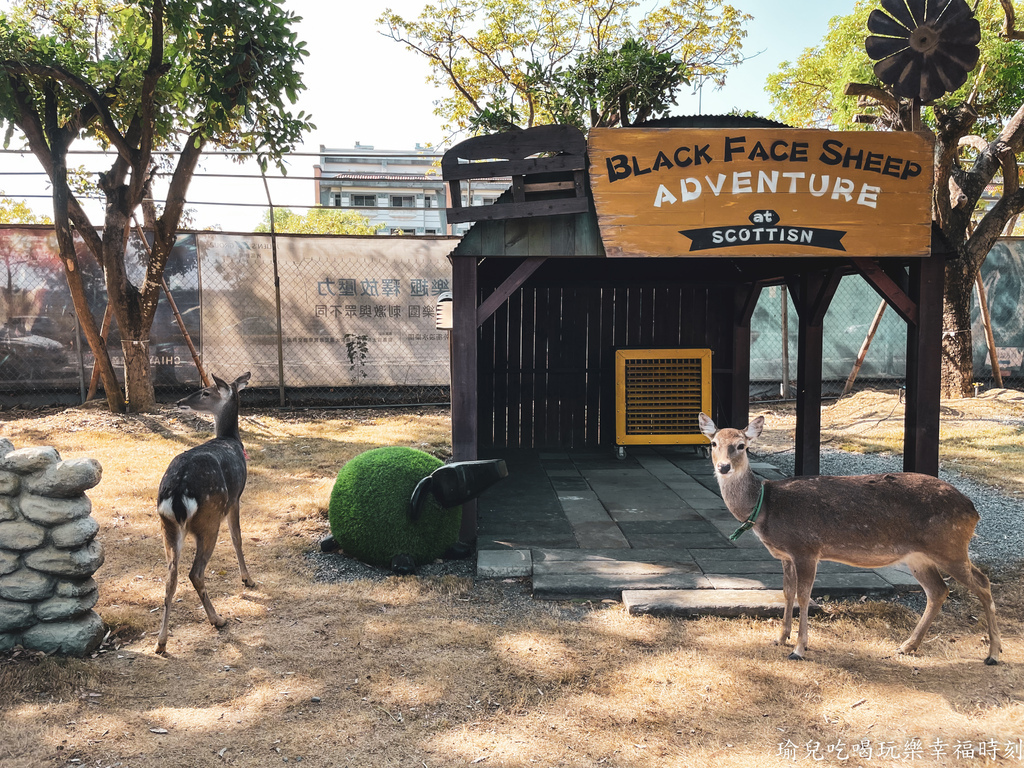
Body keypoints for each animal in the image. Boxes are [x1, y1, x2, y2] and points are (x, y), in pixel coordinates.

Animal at [157, 374, 258, 655]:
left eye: (205, 392)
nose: (179, 401)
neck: (232, 439)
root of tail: (177, 493)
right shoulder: (235, 498)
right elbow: (237, 538)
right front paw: (247, 579)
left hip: (167, 525)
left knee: (170, 576)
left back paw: (161, 642)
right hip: (210, 519)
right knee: (195, 572)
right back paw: (218, 619)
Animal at [696, 415, 999, 667]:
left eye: (741, 445)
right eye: (713, 443)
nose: (724, 467)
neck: (765, 507)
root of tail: (973, 511)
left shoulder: (807, 547)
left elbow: (804, 596)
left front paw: (799, 649)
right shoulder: (786, 555)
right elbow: (787, 592)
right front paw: (780, 638)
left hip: (949, 545)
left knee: (983, 583)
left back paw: (993, 653)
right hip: (919, 556)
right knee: (938, 590)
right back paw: (907, 646)